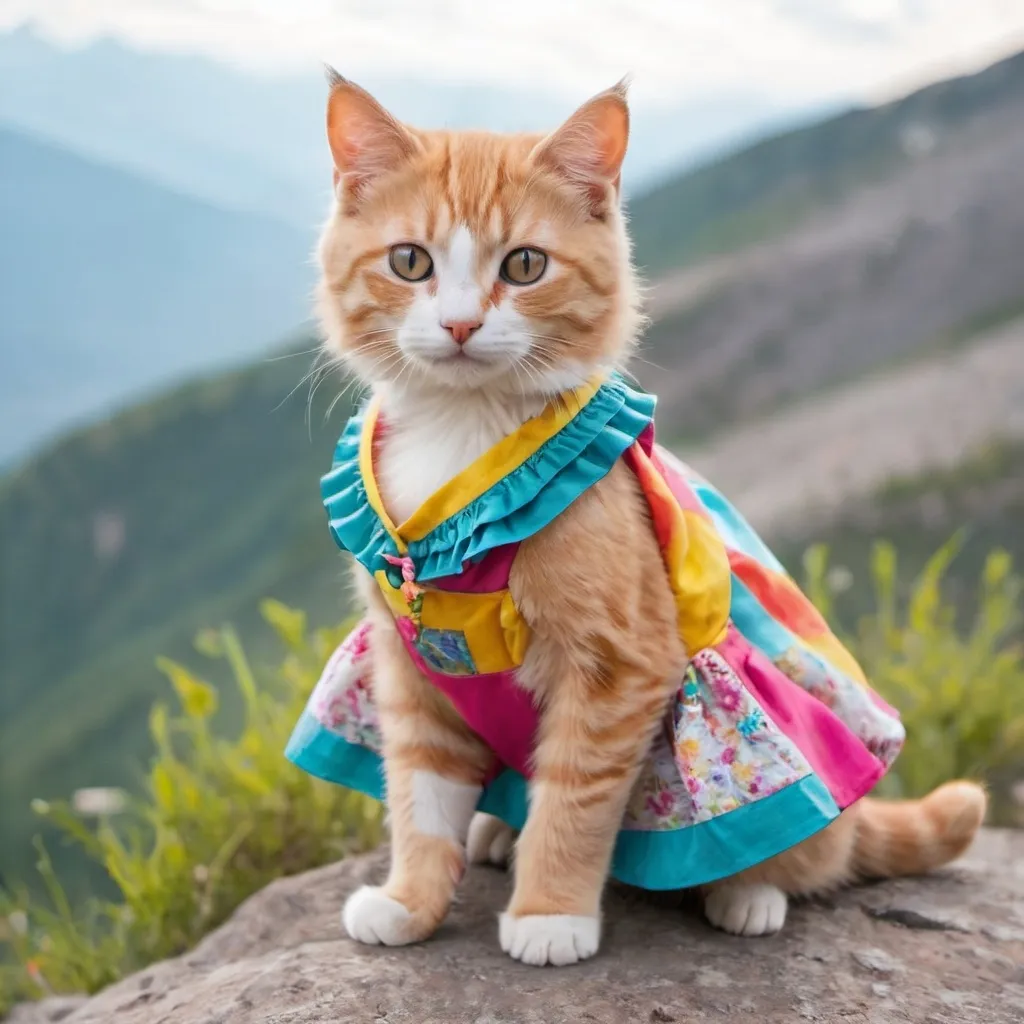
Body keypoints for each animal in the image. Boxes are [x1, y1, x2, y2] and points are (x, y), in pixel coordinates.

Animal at [311, 72, 983, 966]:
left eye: (525, 264)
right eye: (409, 261)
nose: (459, 324)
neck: (465, 433)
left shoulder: (621, 663)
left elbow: (572, 798)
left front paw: (548, 915)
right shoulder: (409, 663)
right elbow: (419, 791)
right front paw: (410, 900)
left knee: (812, 852)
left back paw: (747, 893)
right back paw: (495, 830)